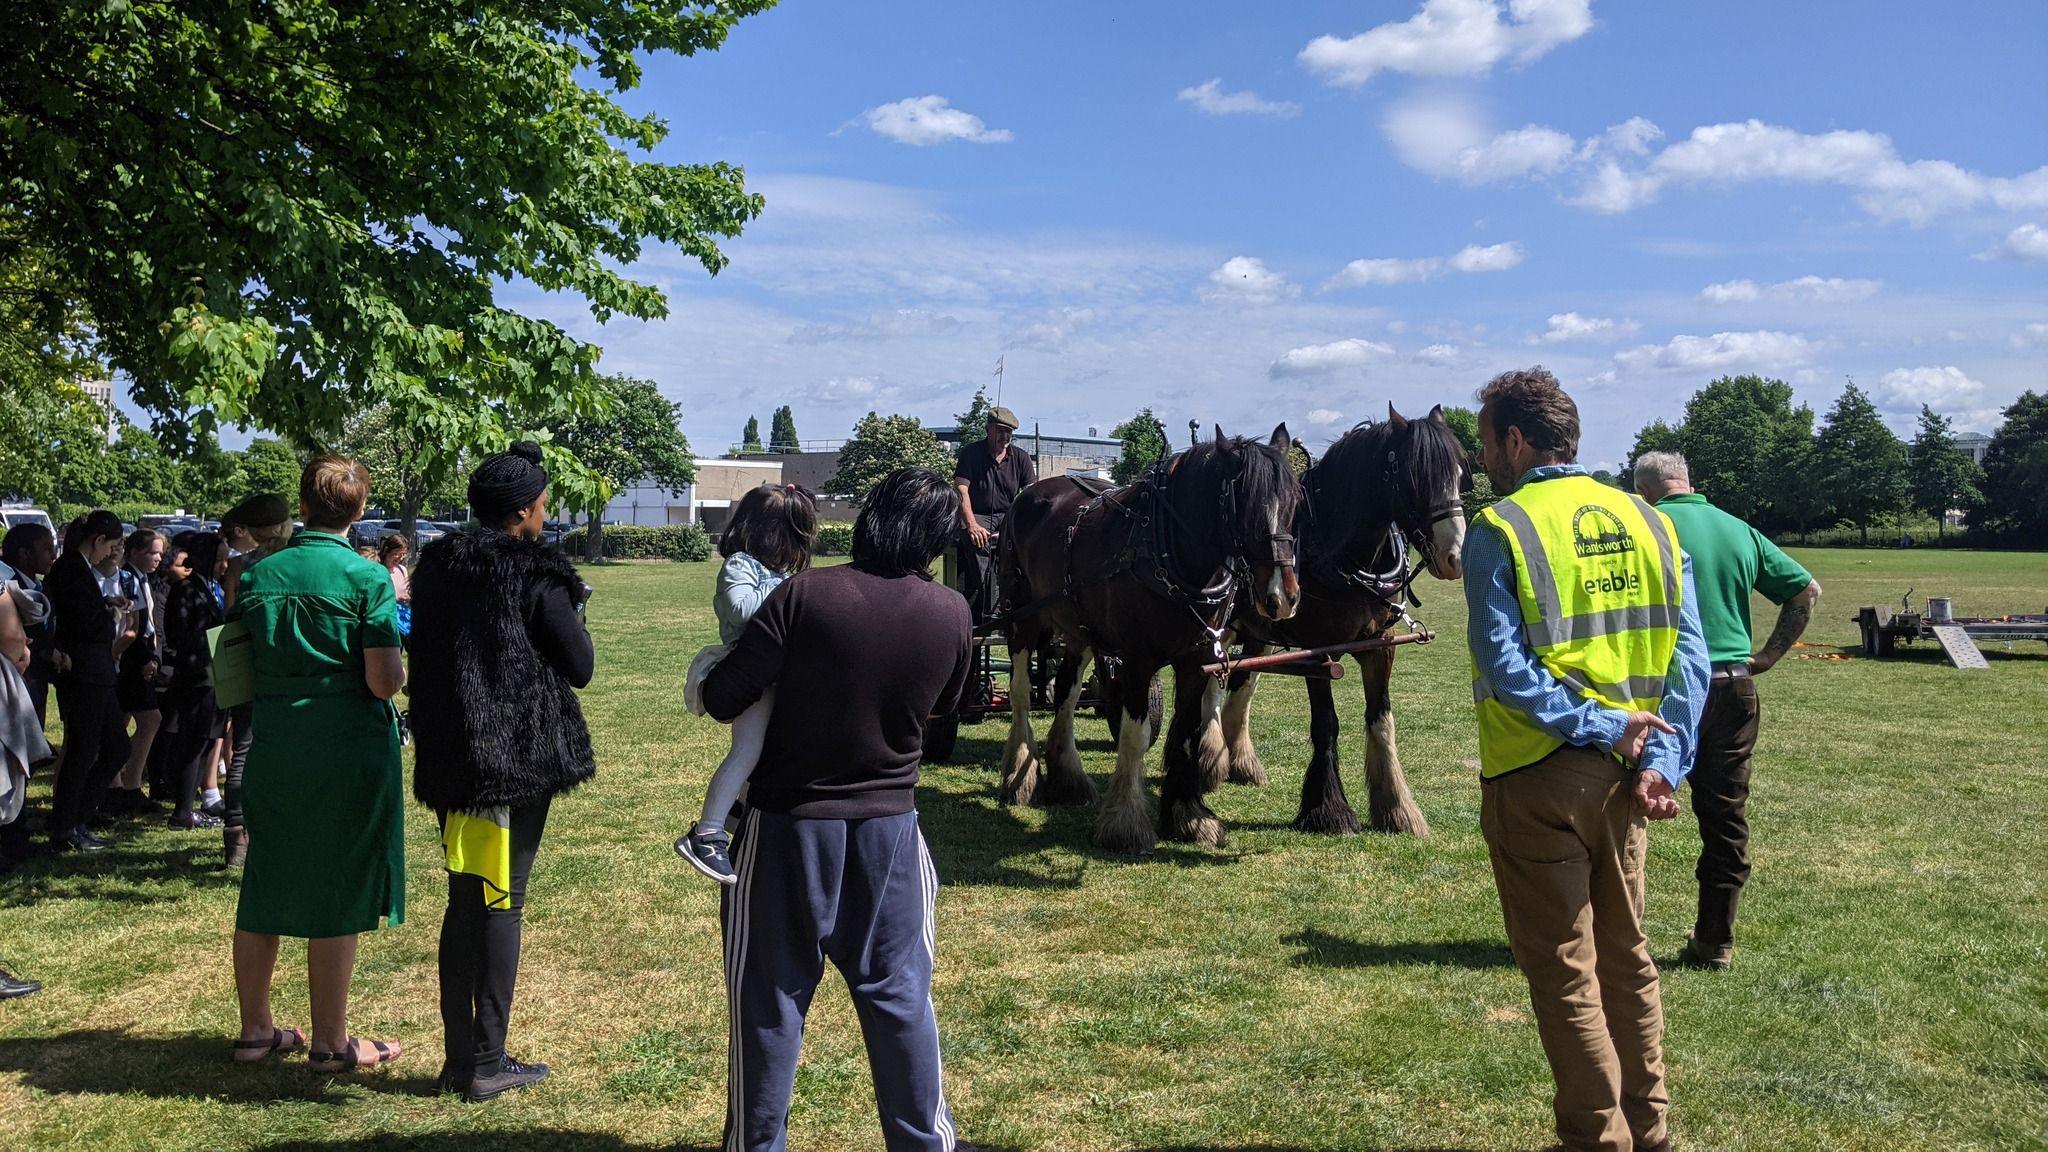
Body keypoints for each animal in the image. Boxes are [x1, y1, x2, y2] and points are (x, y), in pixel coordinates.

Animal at [999, 424, 1302, 852]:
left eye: (1294, 503)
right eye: (1246, 508)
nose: (1283, 597)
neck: (1168, 553)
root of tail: (1030, 493)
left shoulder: (1196, 660)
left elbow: (1187, 732)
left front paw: (1189, 815)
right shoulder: (1139, 661)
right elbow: (1136, 736)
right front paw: (1126, 823)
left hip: (1079, 629)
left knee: (1066, 694)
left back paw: (1068, 776)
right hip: (1022, 617)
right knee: (1022, 692)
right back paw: (1019, 775)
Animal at [1212, 403, 1474, 832]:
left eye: (1459, 472)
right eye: (1414, 476)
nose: (1455, 556)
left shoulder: (1380, 646)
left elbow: (1381, 718)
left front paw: (1397, 808)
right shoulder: (1318, 653)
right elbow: (1326, 724)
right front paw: (1328, 809)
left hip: (1256, 633)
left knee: (1240, 684)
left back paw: (1238, 761)